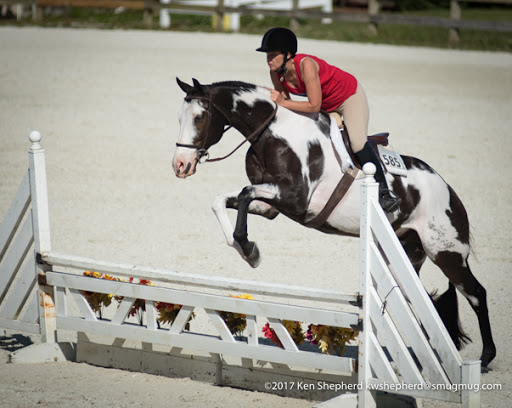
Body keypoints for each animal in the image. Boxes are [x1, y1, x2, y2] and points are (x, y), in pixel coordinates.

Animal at [172, 76, 496, 370]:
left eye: (199, 117)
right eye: (179, 118)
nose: (180, 165)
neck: (273, 133)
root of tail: (447, 188)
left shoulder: (293, 198)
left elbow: (242, 193)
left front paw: (249, 249)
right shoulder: (270, 205)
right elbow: (224, 200)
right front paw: (246, 249)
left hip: (445, 252)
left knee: (476, 294)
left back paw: (485, 358)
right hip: (406, 254)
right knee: (419, 302)